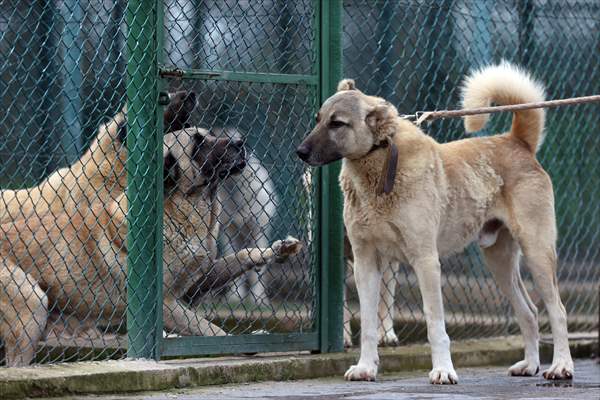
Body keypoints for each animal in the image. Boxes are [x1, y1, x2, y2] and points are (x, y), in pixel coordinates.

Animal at [298, 61, 576, 382]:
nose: (299, 152)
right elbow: (367, 324)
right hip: (500, 261)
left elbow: (435, 324)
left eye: (337, 124)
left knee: (558, 311)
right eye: (318, 119)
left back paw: (561, 366)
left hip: (537, 253)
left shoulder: (425, 261)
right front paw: (366, 367)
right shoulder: (365, 263)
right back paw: (530, 365)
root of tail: (517, 142)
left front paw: (443, 370)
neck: (379, 167)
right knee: (529, 312)